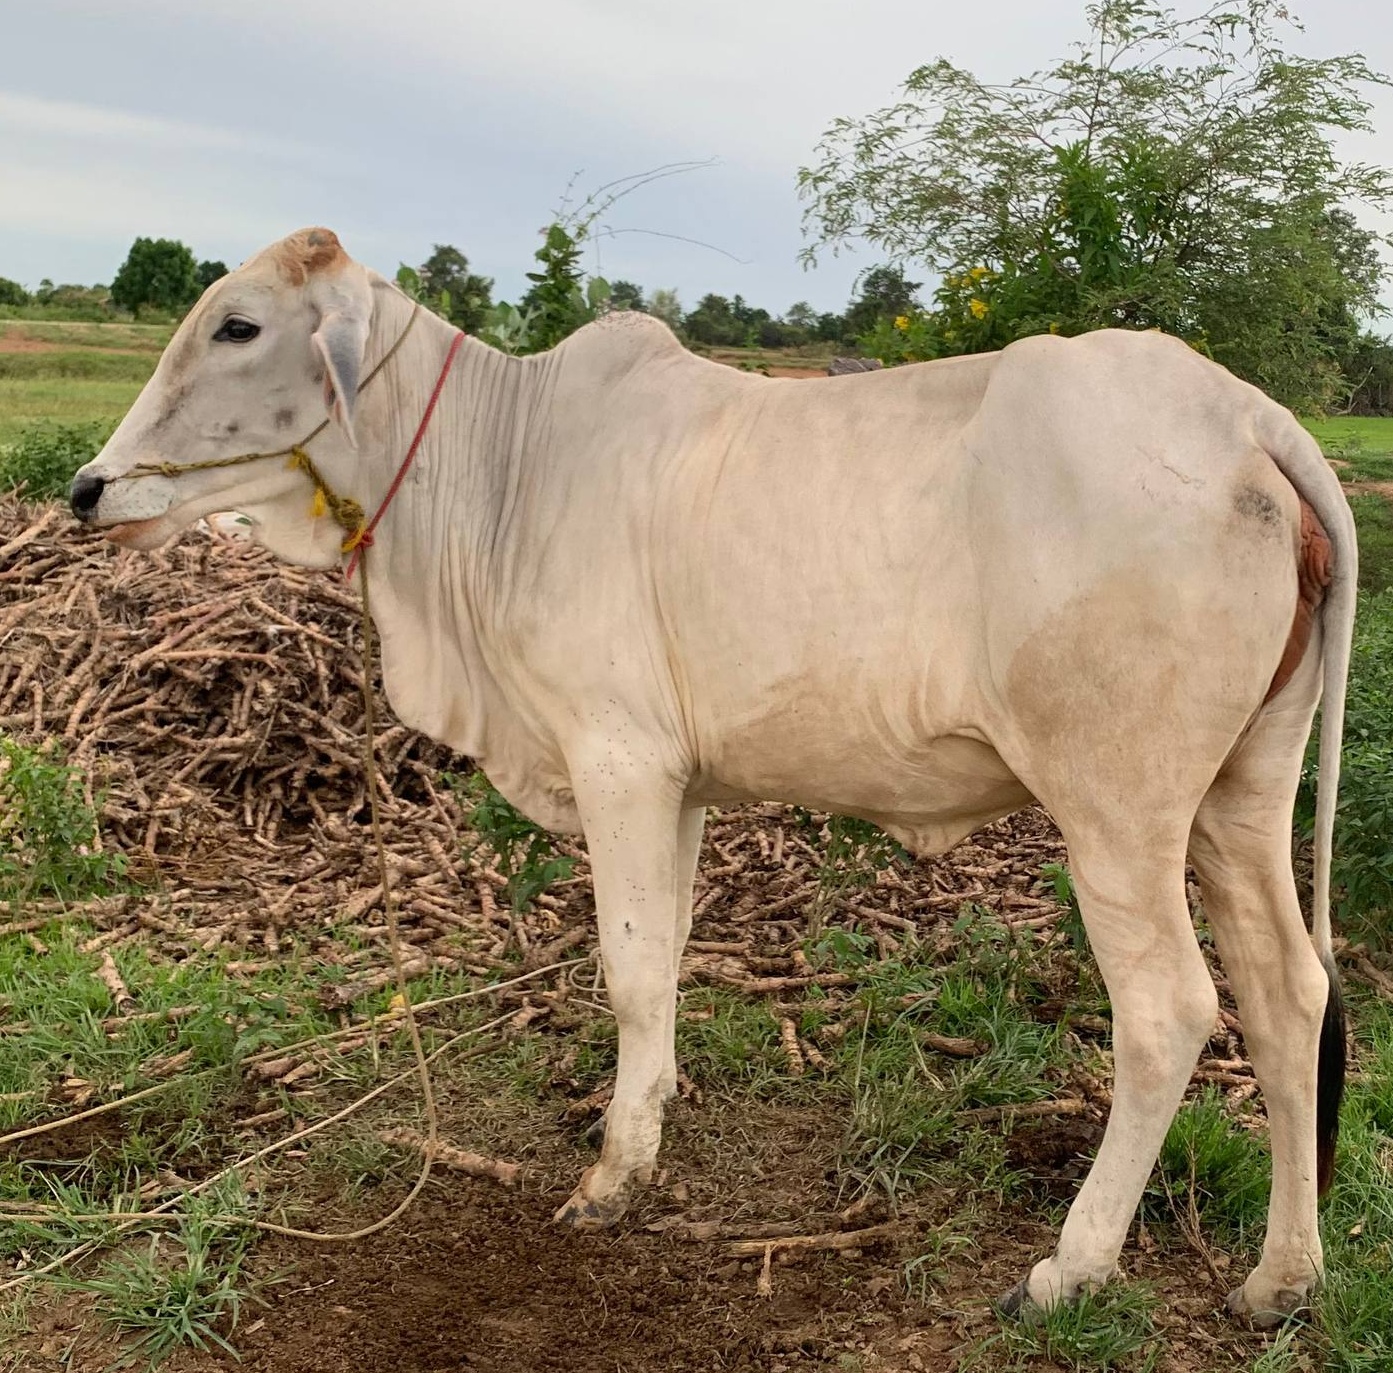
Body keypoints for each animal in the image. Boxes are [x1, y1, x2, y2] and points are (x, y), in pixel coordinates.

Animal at [69, 228, 1355, 1325]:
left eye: (238, 324)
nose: (89, 490)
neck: (500, 468)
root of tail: (1244, 415)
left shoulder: (618, 759)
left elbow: (632, 968)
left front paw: (615, 1171)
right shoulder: (677, 784)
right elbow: (673, 951)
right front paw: (657, 1103)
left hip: (1115, 810)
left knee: (1168, 1010)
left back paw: (1071, 1265)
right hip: (1241, 795)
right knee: (1288, 991)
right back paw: (1280, 1275)